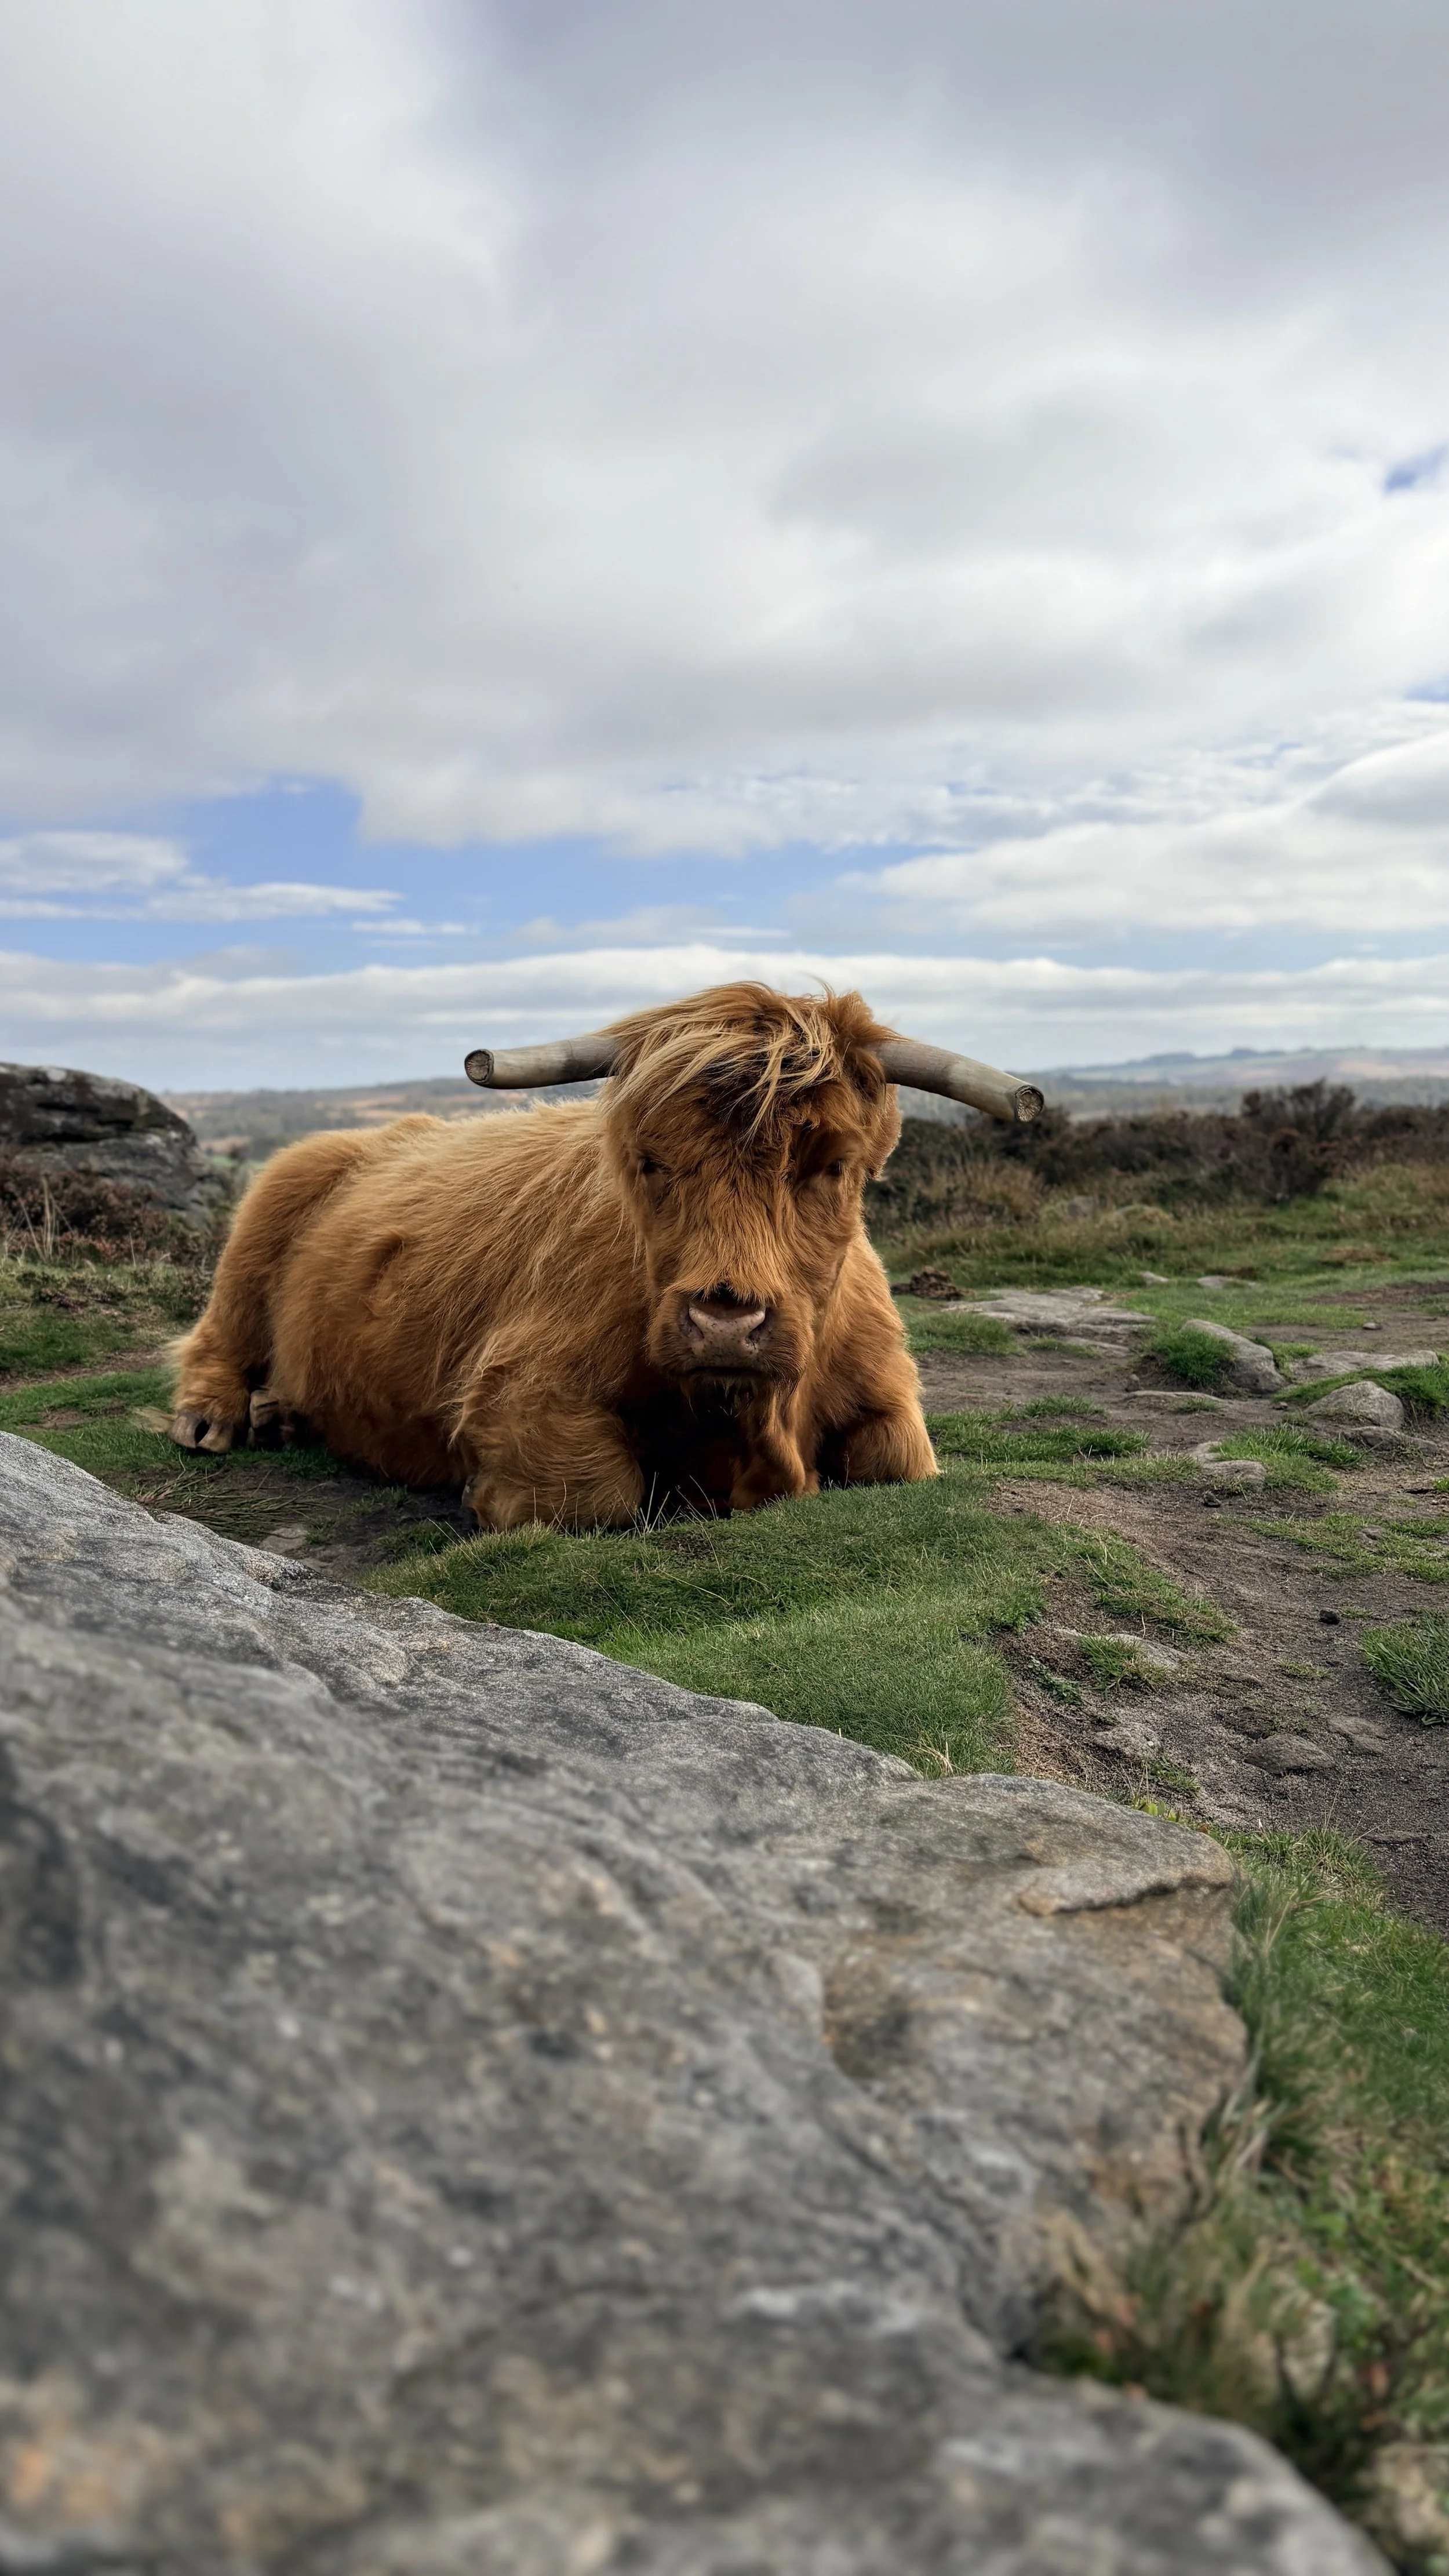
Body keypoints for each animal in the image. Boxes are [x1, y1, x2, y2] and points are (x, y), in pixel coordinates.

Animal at [169, 983, 1042, 1529]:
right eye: (651, 1163)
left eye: (830, 1166)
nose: (726, 1322)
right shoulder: (524, 1385)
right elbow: (596, 1498)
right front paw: (485, 1494)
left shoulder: (889, 1398)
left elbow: (899, 1459)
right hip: (271, 1203)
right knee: (221, 1331)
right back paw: (211, 1418)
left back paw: (283, 1414)